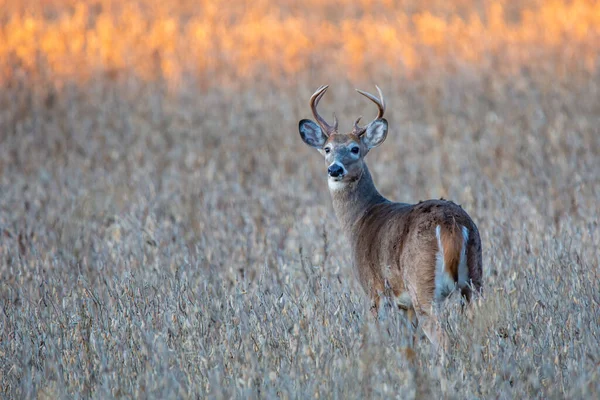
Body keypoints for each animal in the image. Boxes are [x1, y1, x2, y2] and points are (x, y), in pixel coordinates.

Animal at [298, 86, 482, 348]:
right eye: (327, 148)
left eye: (355, 148)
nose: (334, 169)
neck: (360, 218)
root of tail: (451, 224)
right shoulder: (405, 305)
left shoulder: (373, 288)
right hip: (474, 279)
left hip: (422, 284)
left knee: (442, 338)